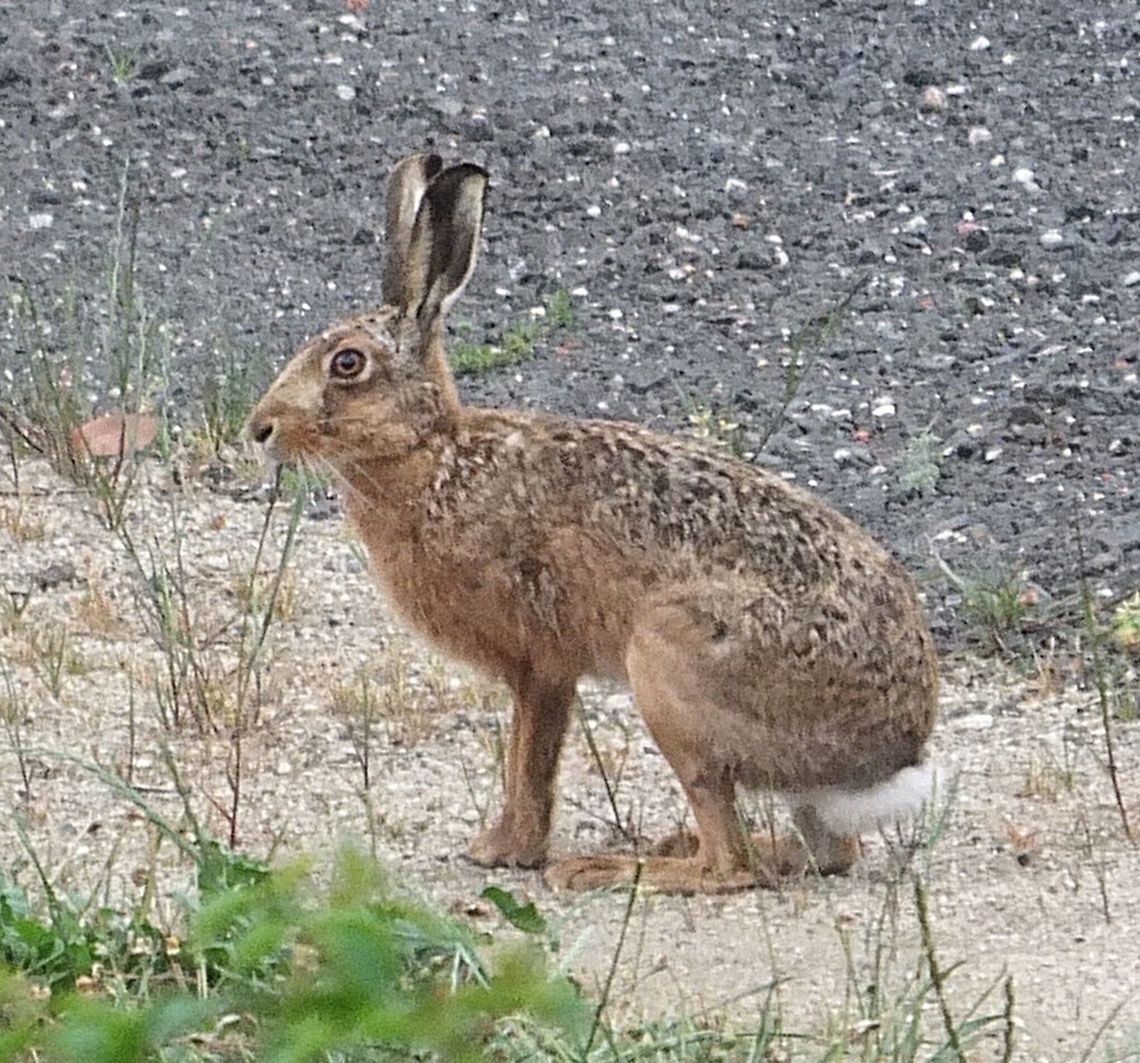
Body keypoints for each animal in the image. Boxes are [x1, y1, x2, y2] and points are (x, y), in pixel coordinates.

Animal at [247, 153, 939, 893]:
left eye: (347, 363)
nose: (259, 428)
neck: (435, 456)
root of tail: (894, 749)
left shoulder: (539, 661)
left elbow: (529, 757)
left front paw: (504, 850)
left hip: (672, 662)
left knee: (729, 863)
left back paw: (617, 867)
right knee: (826, 852)